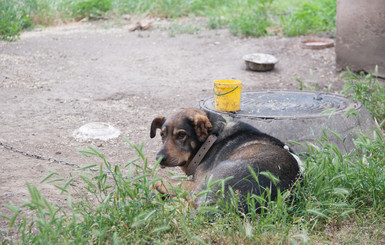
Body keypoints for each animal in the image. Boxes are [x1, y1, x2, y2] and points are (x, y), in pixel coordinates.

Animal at [150, 107, 300, 212]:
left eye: (181, 135)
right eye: (162, 135)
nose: (159, 158)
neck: (210, 141)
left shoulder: (196, 183)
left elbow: (170, 182)